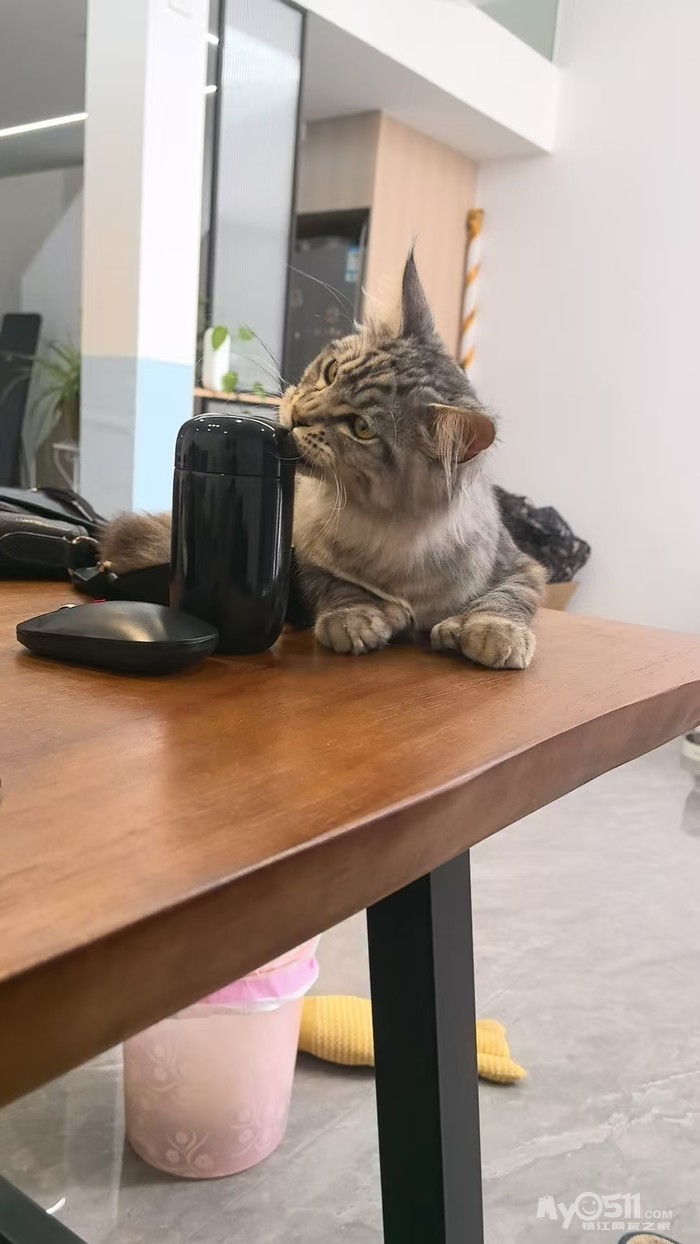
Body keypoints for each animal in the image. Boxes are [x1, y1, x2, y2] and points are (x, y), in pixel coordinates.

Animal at [100, 252, 545, 668]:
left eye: (362, 428)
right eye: (330, 372)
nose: (297, 415)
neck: (391, 531)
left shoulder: (522, 566)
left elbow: (504, 599)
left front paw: (490, 633)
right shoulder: (303, 557)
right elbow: (339, 587)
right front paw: (359, 618)